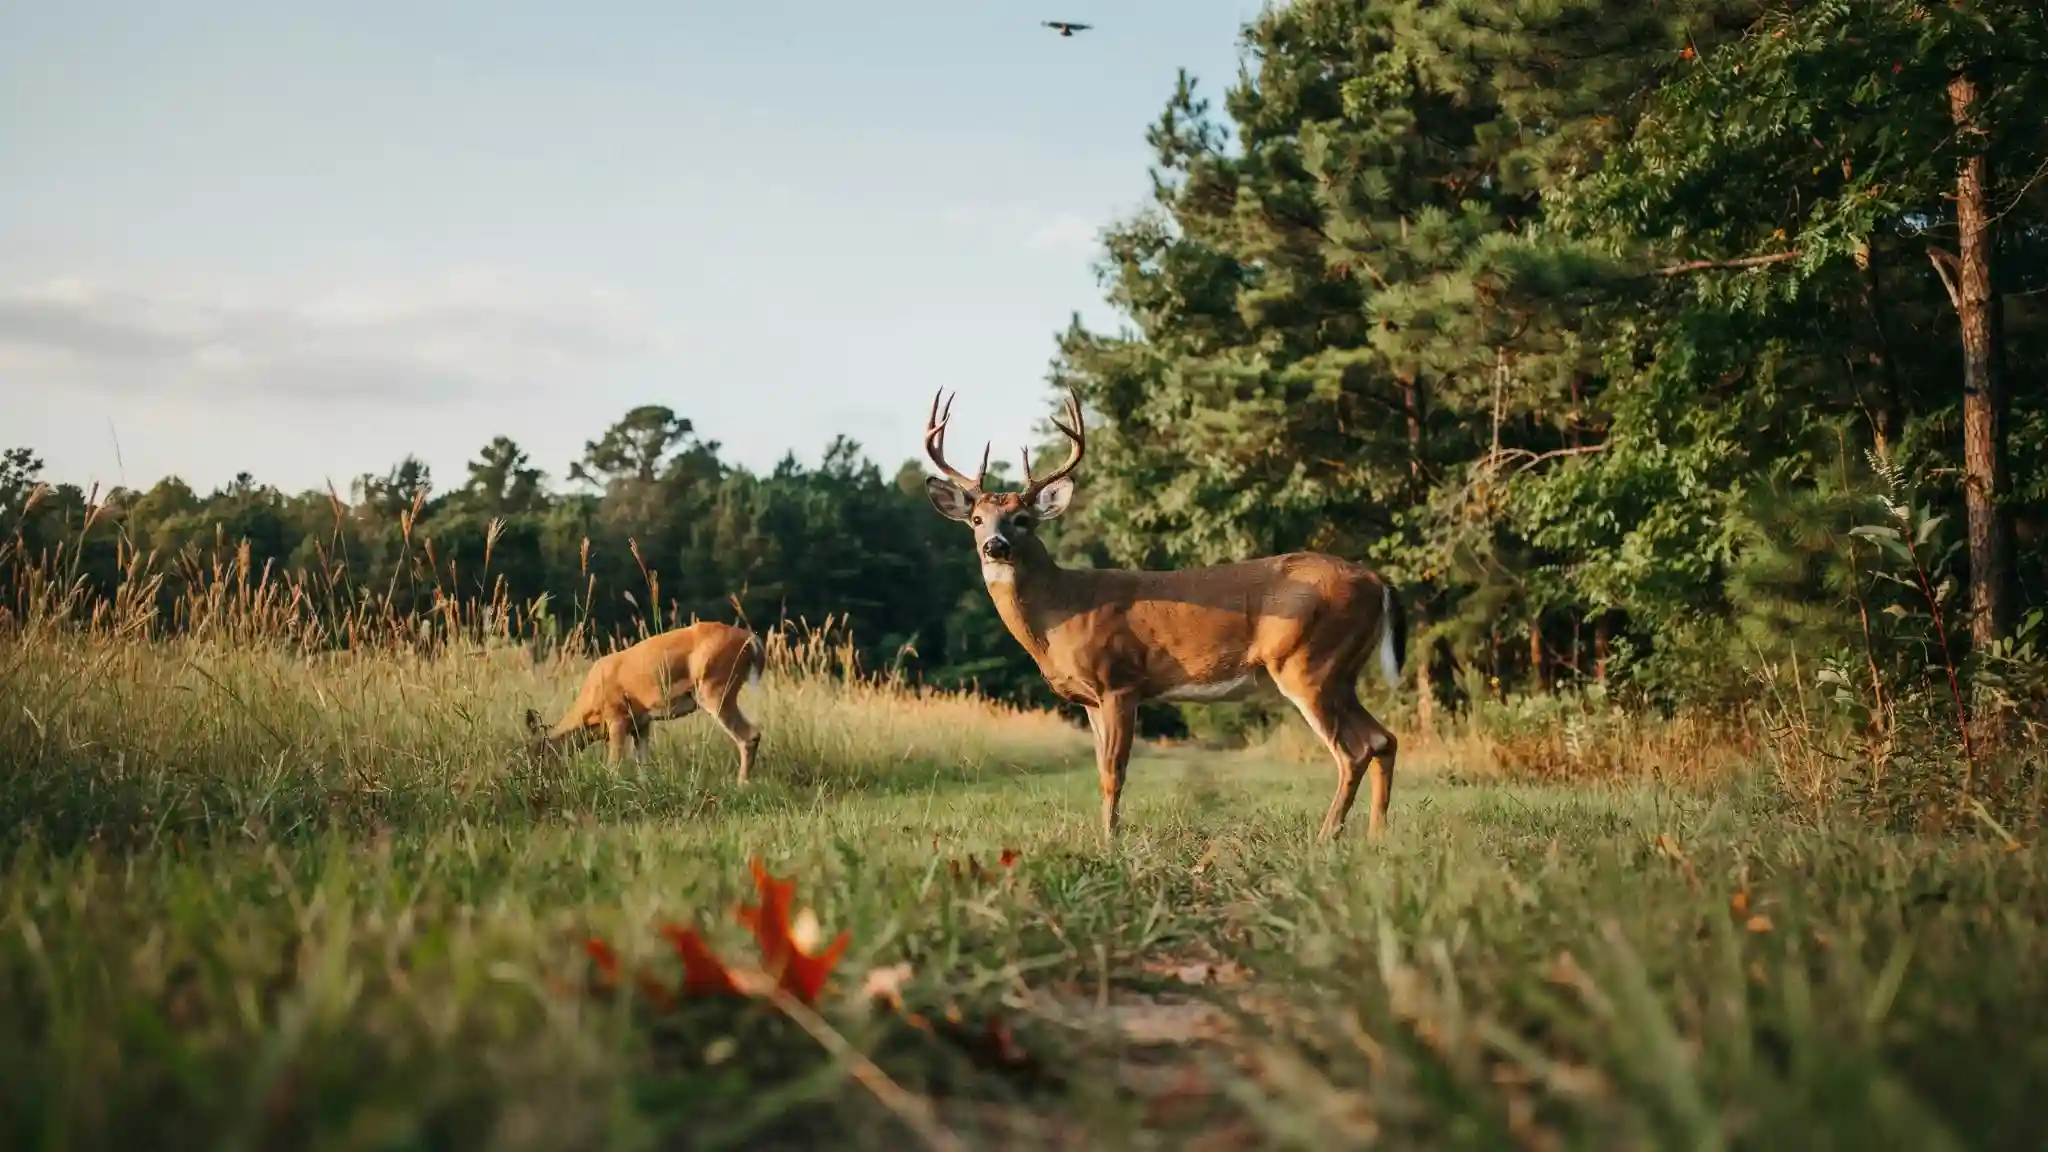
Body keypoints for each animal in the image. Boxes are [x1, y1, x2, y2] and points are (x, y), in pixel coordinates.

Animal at [525, 621, 766, 781]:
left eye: (539, 751)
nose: (535, 777)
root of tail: (752, 639)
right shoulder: (641, 723)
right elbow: (643, 764)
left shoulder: (617, 717)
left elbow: (614, 763)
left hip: (715, 687)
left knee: (749, 736)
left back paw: (741, 784)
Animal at [919, 387, 1407, 844]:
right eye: (977, 519)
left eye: (1022, 519)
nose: (994, 546)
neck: (1061, 611)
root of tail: (1376, 580)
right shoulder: (1091, 699)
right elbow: (1102, 768)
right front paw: (1106, 834)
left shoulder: (1120, 681)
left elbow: (1113, 771)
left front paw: (1110, 841)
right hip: (1340, 671)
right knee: (1384, 738)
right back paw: (1377, 835)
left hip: (1308, 663)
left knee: (1353, 751)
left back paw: (1327, 836)